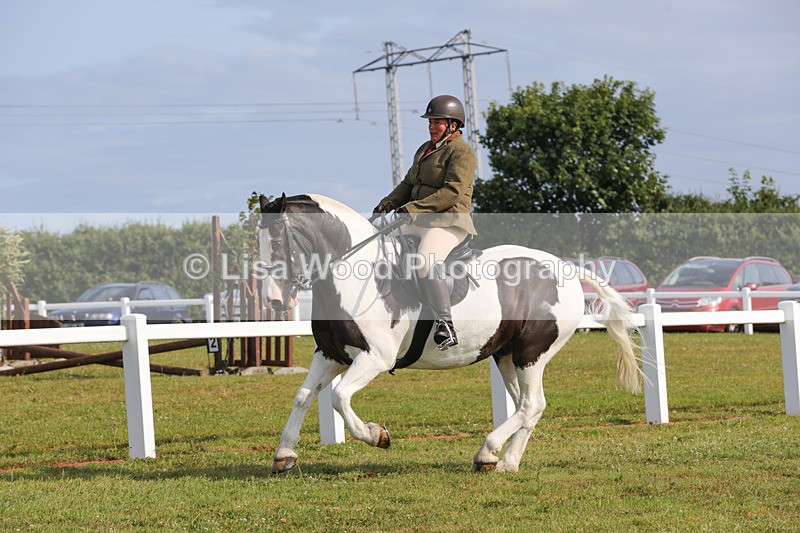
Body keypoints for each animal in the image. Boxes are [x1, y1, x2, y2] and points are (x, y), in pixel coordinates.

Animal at [258, 193, 642, 473]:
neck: (353, 273)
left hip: (531, 353)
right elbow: (303, 395)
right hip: (506, 355)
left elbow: (338, 397)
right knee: (527, 406)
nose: (274, 301)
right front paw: (284, 454)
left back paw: (490, 453)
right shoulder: (331, 354)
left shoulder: (375, 357)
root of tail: (567, 269)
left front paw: (377, 435)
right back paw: (502, 461)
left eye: (277, 242)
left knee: (531, 404)